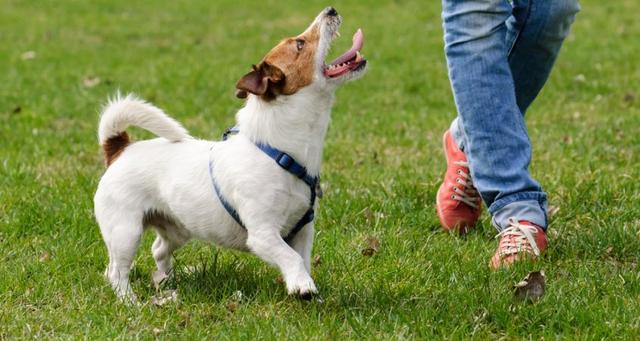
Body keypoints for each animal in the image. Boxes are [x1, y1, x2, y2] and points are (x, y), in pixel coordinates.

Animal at [92, 6, 368, 302]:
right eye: (300, 44)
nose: (331, 9)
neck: (280, 152)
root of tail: (120, 148)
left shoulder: (303, 231)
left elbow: (301, 260)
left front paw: (304, 287)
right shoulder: (262, 235)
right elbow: (290, 257)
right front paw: (303, 286)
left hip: (177, 228)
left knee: (157, 250)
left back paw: (166, 282)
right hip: (125, 231)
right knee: (117, 271)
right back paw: (130, 301)